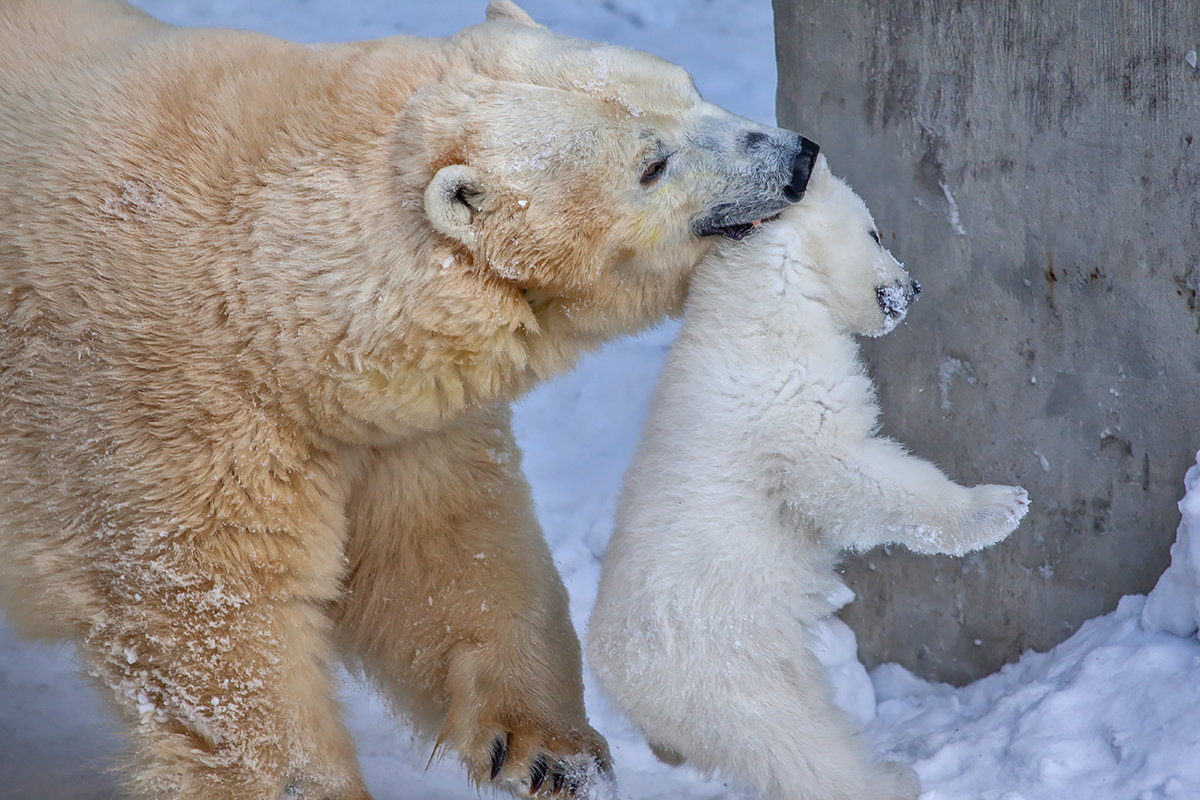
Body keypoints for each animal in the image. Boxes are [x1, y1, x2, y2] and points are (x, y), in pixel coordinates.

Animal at [0, 1, 816, 800]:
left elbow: (444, 551)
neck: (266, 294)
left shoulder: (394, 423)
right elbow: (220, 625)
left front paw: (552, 754)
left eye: (691, 90)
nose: (797, 158)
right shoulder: (164, 411)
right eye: (652, 165)